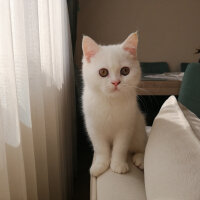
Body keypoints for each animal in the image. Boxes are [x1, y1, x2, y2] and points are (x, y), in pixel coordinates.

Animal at [81, 31, 147, 177]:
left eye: (125, 71)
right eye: (103, 72)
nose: (116, 82)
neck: (110, 101)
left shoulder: (126, 127)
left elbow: (120, 148)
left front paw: (118, 164)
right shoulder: (94, 127)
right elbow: (101, 148)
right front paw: (100, 165)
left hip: (139, 129)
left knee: (143, 146)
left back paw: (140, 159)